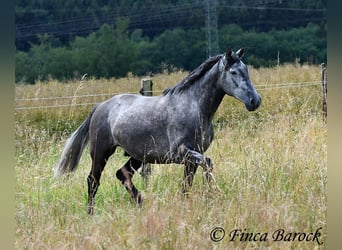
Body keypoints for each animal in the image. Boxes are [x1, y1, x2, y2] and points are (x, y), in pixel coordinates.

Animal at [54, 48, 262, 215]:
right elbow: (208, 164)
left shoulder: (192, 157)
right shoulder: (181, 153)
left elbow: (187, 183)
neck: (194, 106)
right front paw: (213, 194)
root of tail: (100, 107)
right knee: (93, 180)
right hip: (101, 152)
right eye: (233, 72)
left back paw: (140, 201)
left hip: (137, 155)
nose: (255, 101)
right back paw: (91, 213)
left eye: (246, 70)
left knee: (122, 174)